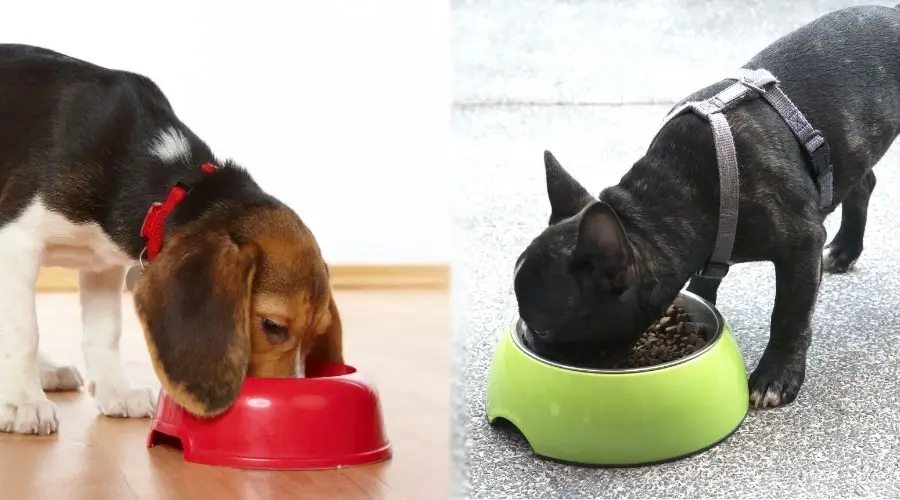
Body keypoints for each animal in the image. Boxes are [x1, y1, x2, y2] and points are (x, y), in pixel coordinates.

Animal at [0, 43, 342, 434]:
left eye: (316, 335)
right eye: (272, 326)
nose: (286, 406)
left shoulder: (103, 263)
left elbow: (104, 331)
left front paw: (116, 390)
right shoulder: (17, 242)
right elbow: (23, 331)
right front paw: (23, 401)